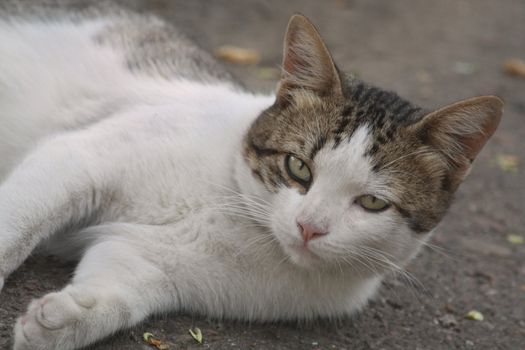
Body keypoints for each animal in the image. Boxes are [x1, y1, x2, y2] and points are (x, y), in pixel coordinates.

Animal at [0, 4, 502, 348]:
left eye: (373, 202)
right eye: (298, 167)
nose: (309, 227)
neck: (248, 226)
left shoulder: (152, 263)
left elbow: (119, 289)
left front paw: (58, 321)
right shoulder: (79, 156)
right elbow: (15, 227)